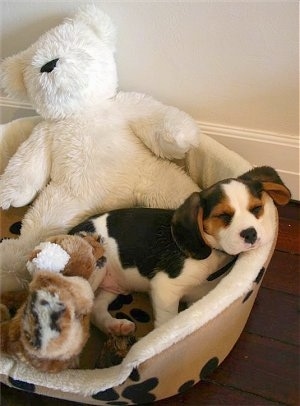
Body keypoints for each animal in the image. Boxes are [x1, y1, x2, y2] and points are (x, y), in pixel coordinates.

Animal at [69, 167, 290, 334]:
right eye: (224, 216)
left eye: (256, 209)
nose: (250, 234)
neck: (215, 254)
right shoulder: (165, 289)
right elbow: (168, 324)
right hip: (95, 269)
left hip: (112, 284)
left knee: (96, 309)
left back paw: (115, 326)